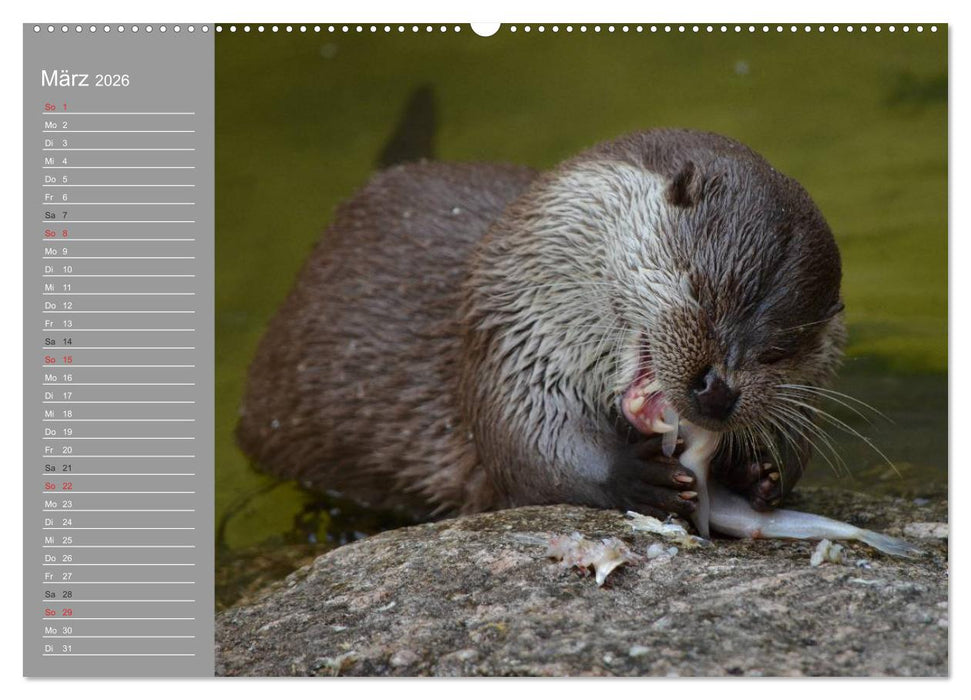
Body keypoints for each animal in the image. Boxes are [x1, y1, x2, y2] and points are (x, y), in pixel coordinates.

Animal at [235, 129, 845, 524]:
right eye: (698, 288)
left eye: (782, 348)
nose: (718, 390)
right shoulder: (514, 332)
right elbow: (525, 443)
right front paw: (631, 474)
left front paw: (759, 470)